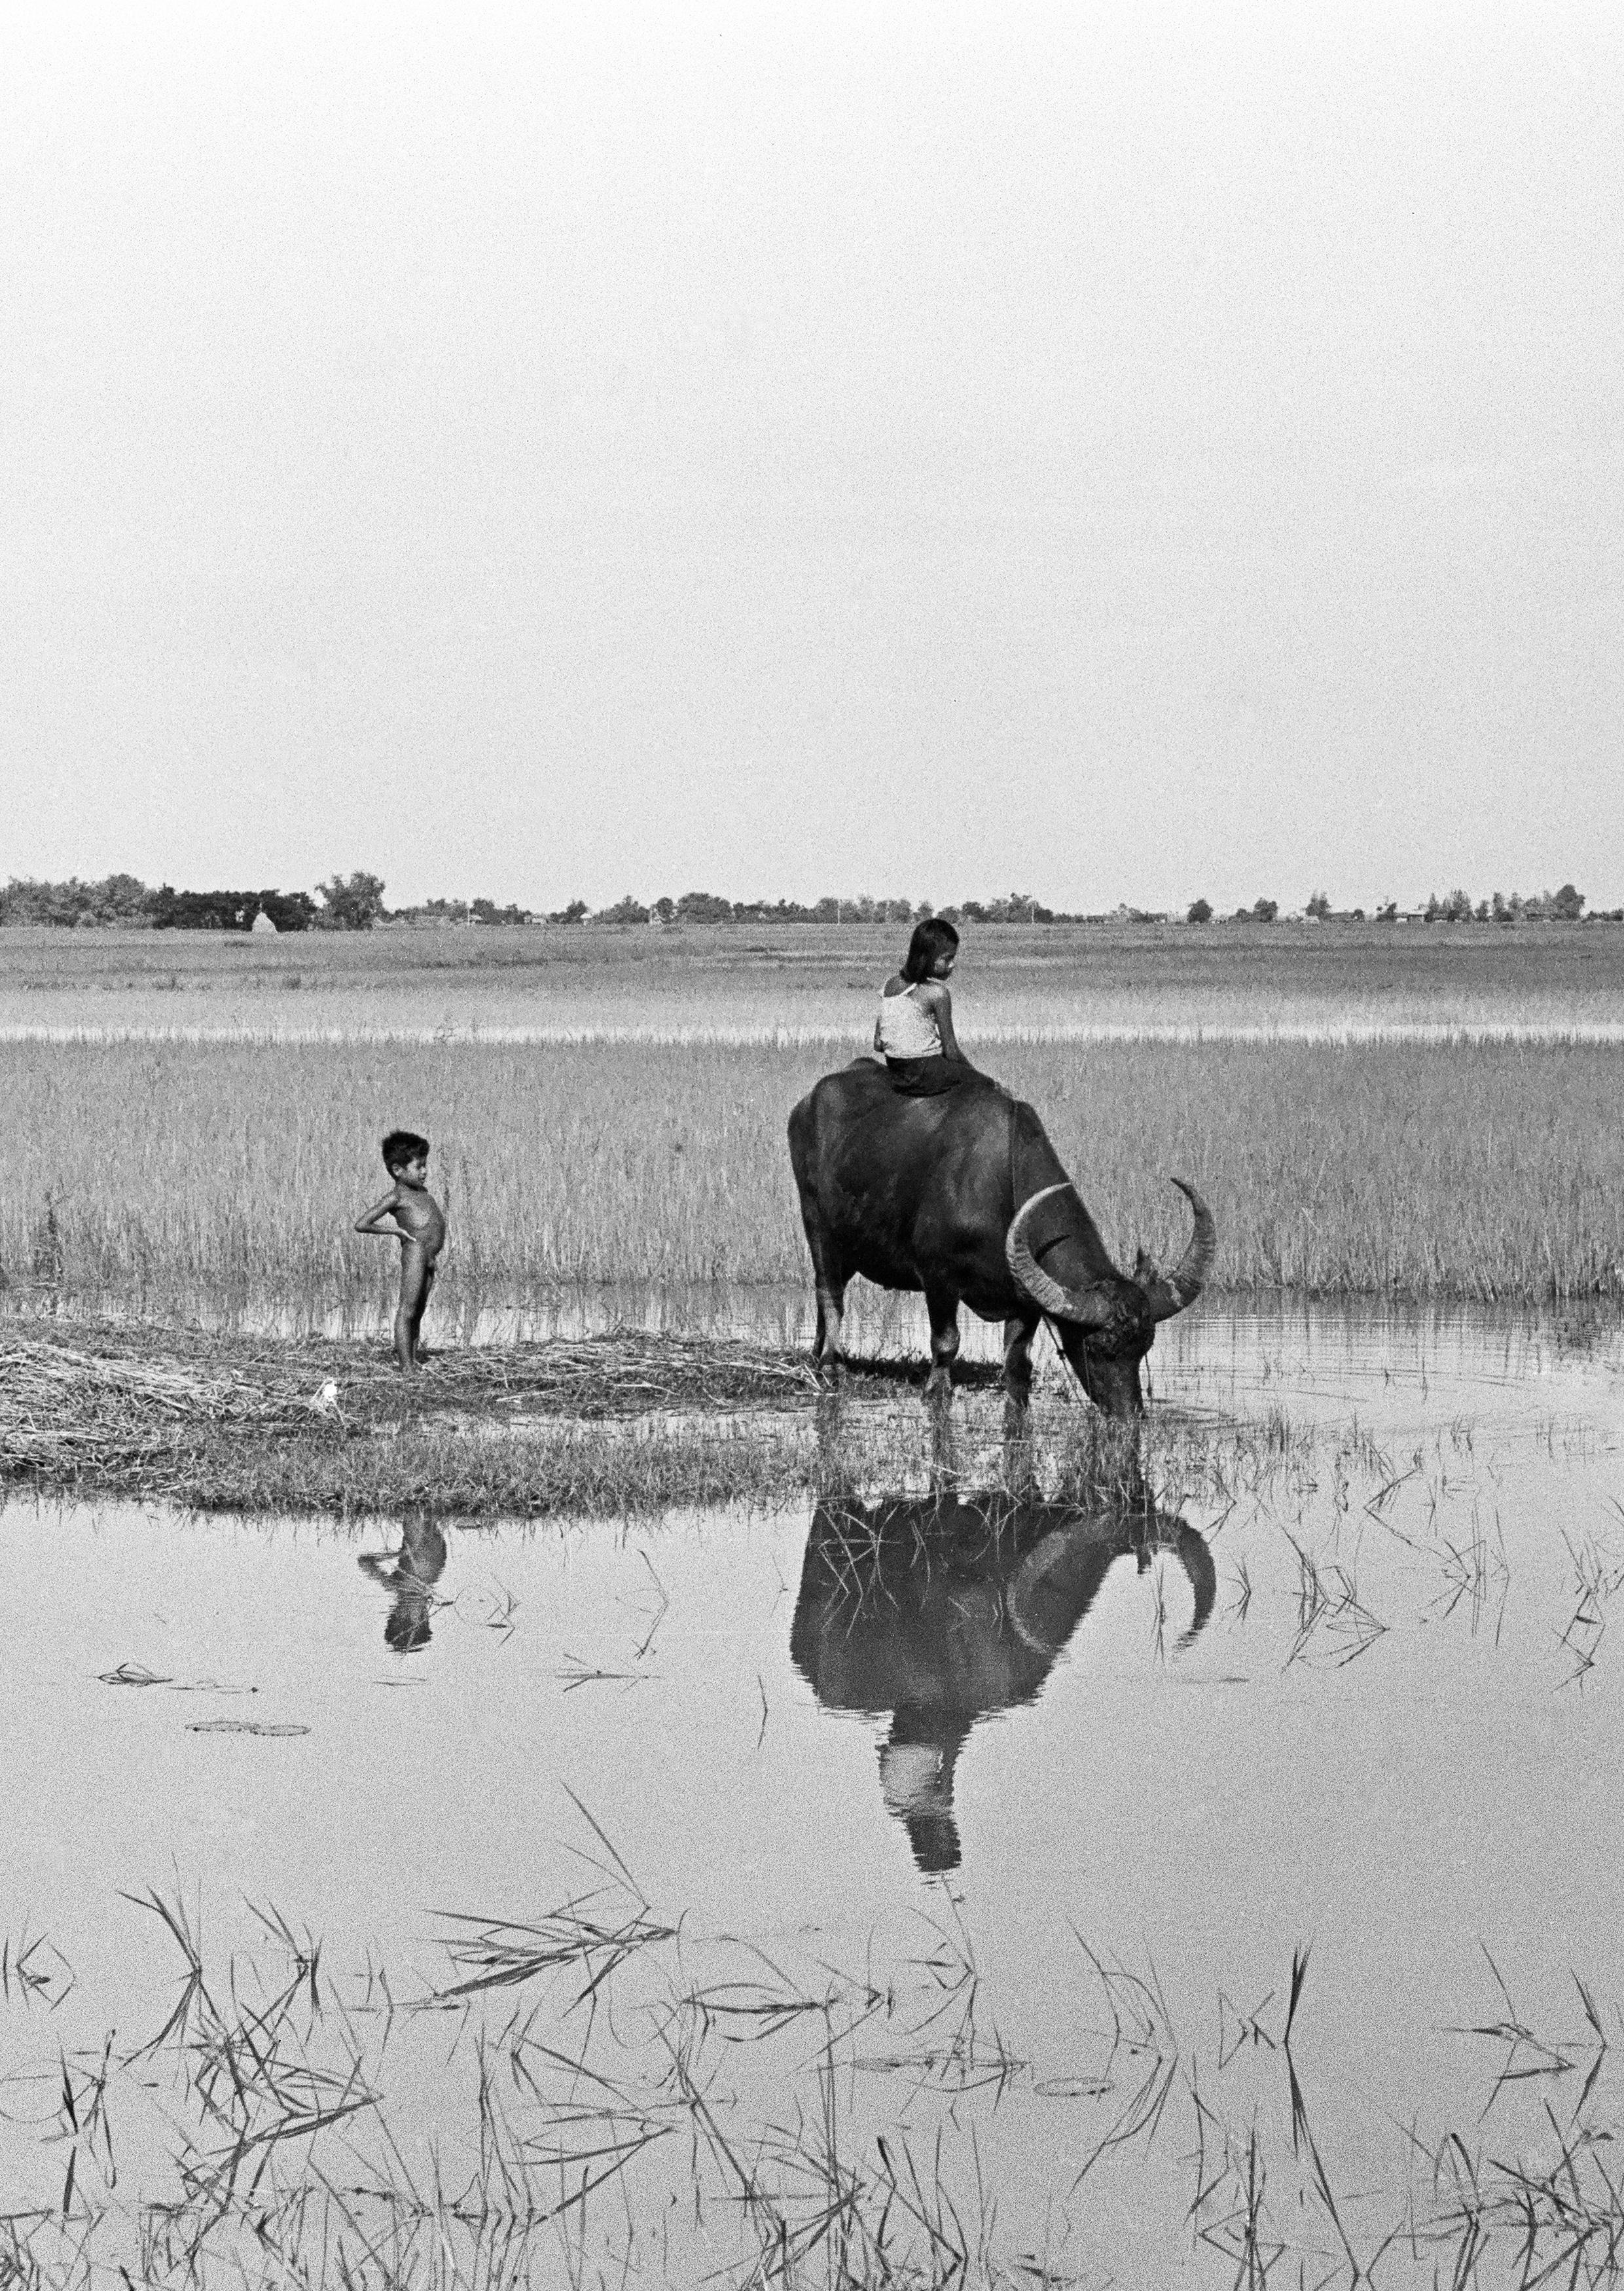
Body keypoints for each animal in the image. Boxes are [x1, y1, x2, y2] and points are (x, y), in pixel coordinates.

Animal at [778, 1058, 1209, 1411]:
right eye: (1097, 1345)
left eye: (1145, 1346)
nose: (1129, 1413)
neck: (1000, 1186)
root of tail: (806, 1103)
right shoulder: (938, 1278)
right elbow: (946, 1342)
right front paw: (936, 1390)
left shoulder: (1025, 1299)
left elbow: (1018, 1361)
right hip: (818, 1228)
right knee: (830, 1293)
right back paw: (831, 1366)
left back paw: (817, 1353)